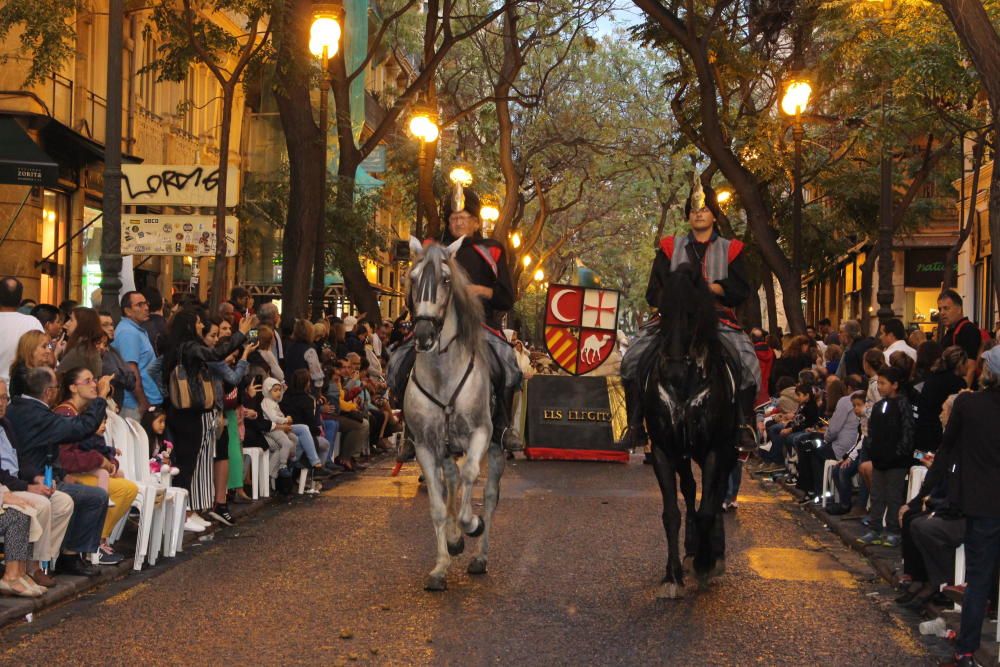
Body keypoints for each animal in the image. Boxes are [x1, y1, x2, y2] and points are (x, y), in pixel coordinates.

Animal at [402, 237, 504, 592]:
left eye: (446, 280)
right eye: (412, 278)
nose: (423, 335)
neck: (442, 373)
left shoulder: (481, 434)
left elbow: (472, 476)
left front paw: (471, 525)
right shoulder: (424, 445)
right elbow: (437, 505)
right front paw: (441, 565)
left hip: (498, 447)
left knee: (489, 494)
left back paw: (480, 556)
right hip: (445, 448)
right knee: (452, 479)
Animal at [644, 262, 740, 600]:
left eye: (691, 313)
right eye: (662, 311)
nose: (672, 370)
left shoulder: (714, 449)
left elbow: (708, 508)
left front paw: (704, 562)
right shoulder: (664, 449)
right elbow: (671, 512)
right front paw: (672, 575)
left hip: (726, 449)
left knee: (714, 493)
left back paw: (712, 553)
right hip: (684, 454)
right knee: (689, 490)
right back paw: (689, 550)